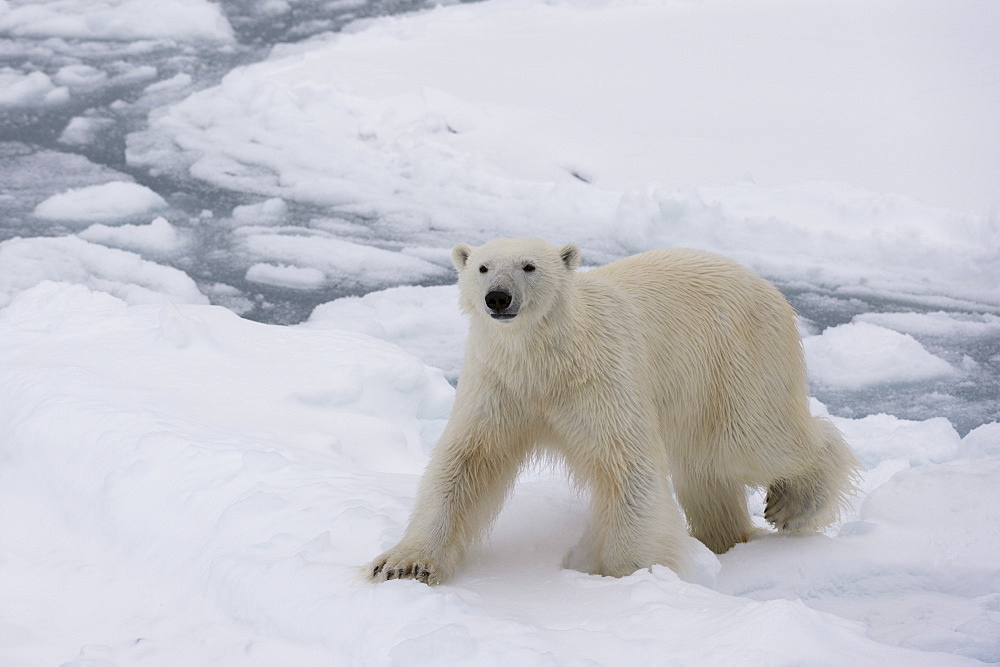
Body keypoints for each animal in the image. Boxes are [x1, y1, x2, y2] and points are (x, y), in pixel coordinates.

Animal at [370, 239, 860, 584]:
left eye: (530, 266)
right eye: (483, 267)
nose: (498, 298)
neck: (547, 358)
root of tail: (766, 284)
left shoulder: (601, 378)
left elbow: (627, 464)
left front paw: (624, 575)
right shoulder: (500, 384)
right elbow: (465, 462)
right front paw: (404, 565)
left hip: (738, 359)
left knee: (752, 441)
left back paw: (793, 506)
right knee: (706, 468)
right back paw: (721, 539)